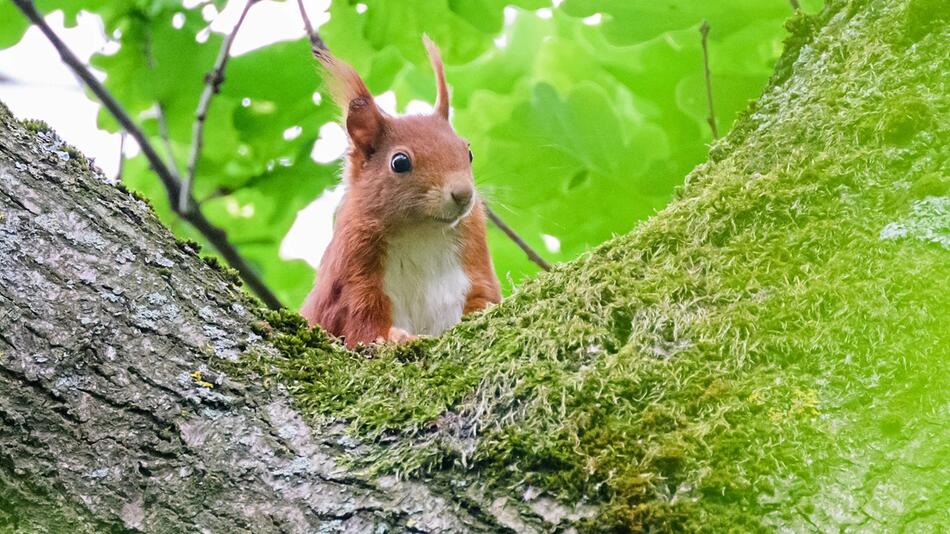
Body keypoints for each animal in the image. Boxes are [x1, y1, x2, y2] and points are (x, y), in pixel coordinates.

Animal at [304, 36, 506, 348]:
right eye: (399, 162)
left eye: (468, 152)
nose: (463, 194)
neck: (421, 232)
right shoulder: (354, 276)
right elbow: (360, 323)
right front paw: (394, 337)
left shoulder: (475, 265)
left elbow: (482, 298)